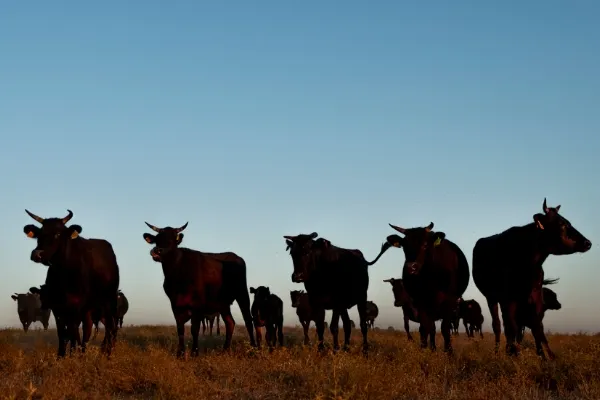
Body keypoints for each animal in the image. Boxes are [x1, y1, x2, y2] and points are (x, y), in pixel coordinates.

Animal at [22, 209, 118, 356]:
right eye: (39, 234)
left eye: (57, 234)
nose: (36, 254)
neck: (64, 274)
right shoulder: (57, 307)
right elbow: (63, 333)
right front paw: (61, 355)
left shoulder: (76, 306)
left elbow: (73, 331)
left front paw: (73, 354)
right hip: (90, 308)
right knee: (88, 329)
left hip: (108, 301)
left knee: (109, 327)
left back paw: (106, 353)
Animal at [144, 220, 256, 358]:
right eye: (157, 239)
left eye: (172, 240)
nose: (157, 251)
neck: (177, 275)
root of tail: (234, 256)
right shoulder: (174, 304)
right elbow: (180, 328)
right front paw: (180, 353)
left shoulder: (197, 304)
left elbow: (195, 328)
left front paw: (194, 352)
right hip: (222, 303)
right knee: (230, 322)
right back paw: (225, 350)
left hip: (242, 293)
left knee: (248, 320)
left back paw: (254, 349)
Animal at [384, 222, 474, 354]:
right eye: (404, 246)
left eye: (425, 244)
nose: (410, 268)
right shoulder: (420, 302)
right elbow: (424, 328)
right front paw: (423, 351)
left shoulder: (449, 301)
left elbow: (445, 329)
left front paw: (449, 352)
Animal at [474, 199, 592, 360]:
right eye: (561, 224)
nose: (588, 243)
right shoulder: (508, 296)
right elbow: (512, 326)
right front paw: (515, 354)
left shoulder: (535, 293)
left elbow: (537, 326)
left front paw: (546, 357)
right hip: (492, 297)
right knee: (498, 325)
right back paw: (499, 352)